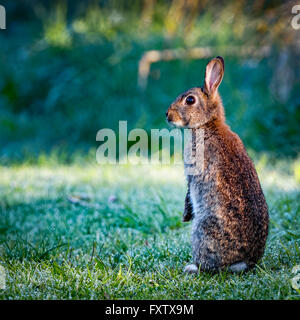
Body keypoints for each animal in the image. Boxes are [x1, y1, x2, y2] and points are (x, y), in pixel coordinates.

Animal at [165, 57, 268, 272]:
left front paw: (185, 215)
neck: (207, 124)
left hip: (202, 229)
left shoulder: (192, 172)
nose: (167, 115)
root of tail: (244, 261)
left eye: (190, 100)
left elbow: (189, 190)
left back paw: (192, 268)